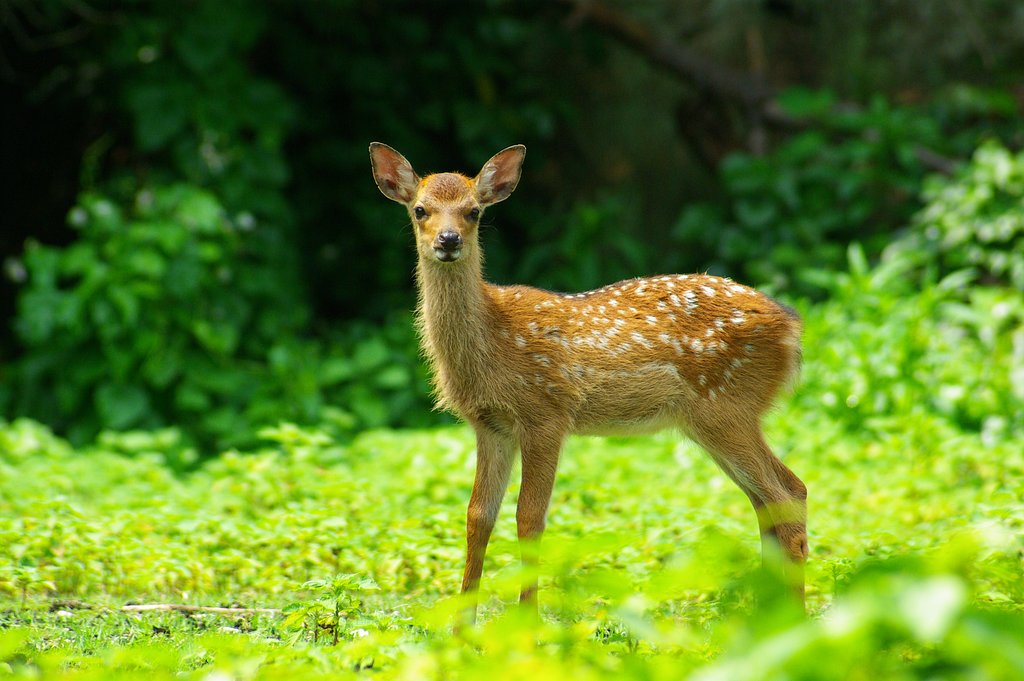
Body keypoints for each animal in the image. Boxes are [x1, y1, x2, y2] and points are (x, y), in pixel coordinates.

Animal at [369, 142, 808, 622]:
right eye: (420, 210)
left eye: (474, 212)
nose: (448, 240)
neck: (493, 339)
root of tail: (792, 328)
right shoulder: (491, 425)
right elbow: (478, 516)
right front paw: (461, 625)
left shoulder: (546, 413)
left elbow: (529, 518)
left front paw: (527, 621)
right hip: (715, 418)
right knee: (769, 499)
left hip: (726, 404)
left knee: (788, 492)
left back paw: (794, 621)